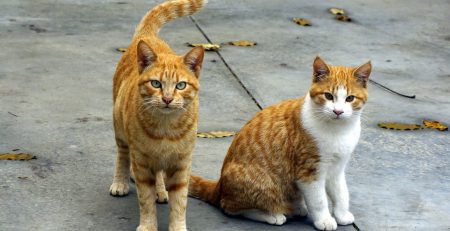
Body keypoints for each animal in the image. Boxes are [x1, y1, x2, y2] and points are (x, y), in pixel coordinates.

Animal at [109, 0, 207, 230]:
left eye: (181, 85)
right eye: (156, 83)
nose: (168, 99)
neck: (166, 127)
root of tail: (148, 36)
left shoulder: (181, 164)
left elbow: (179, 203)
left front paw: (177, 226)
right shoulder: (142, 163)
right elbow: (145, 200)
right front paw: (147, 225)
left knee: (160, 175)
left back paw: (161, 191)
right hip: (119, 127)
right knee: (122, 155)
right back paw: (121, 181)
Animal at [188, 56, 370, 231]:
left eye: (350, 98)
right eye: (328, 96)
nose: (338, 111)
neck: (338, 130)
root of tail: (219, 186)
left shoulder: (337, 168)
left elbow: (341, 194)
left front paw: (342, 215)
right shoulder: (309, 172)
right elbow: (319, 200)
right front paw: (324, 220)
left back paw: (296, 207)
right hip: (263, 186)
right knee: (230, 207)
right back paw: (272, 215)